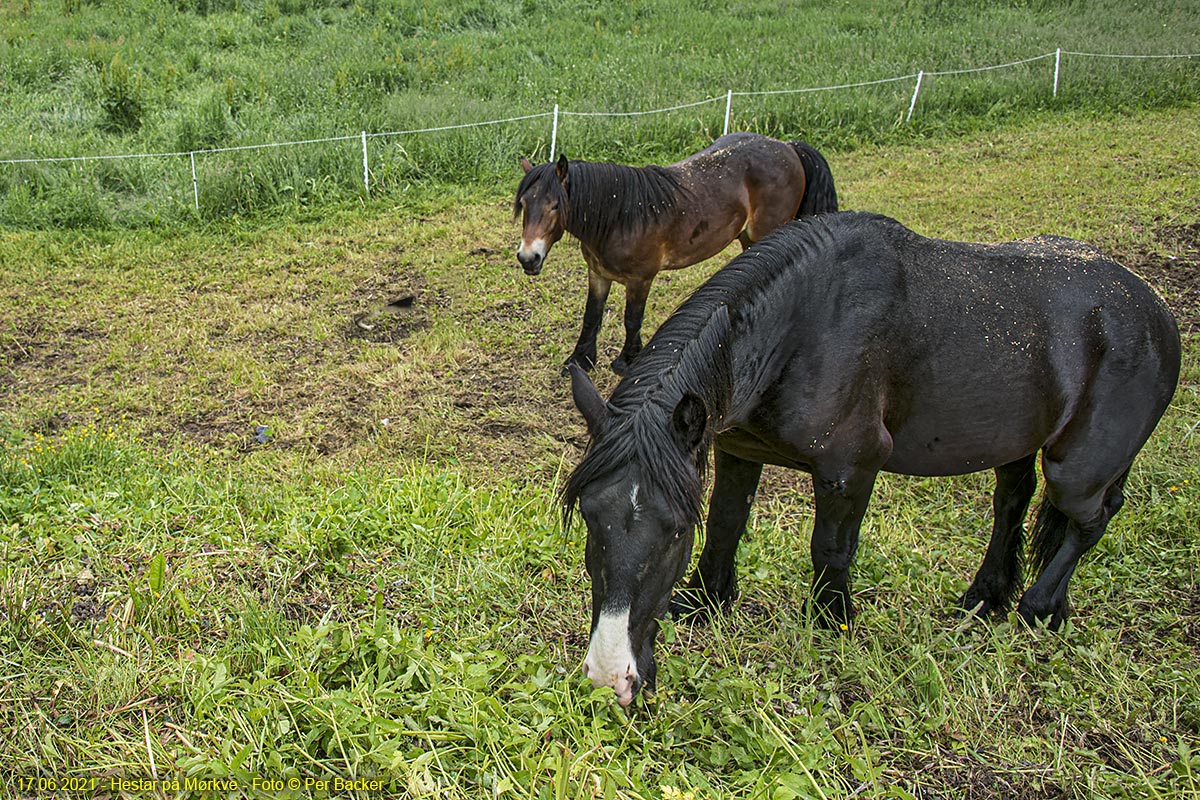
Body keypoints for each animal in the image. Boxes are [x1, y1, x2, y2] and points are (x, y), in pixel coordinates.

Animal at [511, 133, 840, 376]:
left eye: (555, 205)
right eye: (524, 204)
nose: (528, 258)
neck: (620, 217)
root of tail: (788, 146)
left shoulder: (640, 279)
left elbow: (632, 319)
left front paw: (626, 362)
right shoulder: (599, 274)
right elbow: (592, 316)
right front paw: (579, 361)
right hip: (749, 239)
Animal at [564, 212, 1180, 705]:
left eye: (672, 532)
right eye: (591, 518)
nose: (609, 676)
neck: (800, 327)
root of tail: (1153, 306)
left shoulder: (850, 467)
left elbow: (831, 549)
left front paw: (832, 621)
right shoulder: (737, 450)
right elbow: (725, 526)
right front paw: (708, 600)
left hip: (1077, 469)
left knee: (1087, 521)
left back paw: (1037, 607)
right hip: (1017, 442)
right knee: (1012, 503)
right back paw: (985, 599)